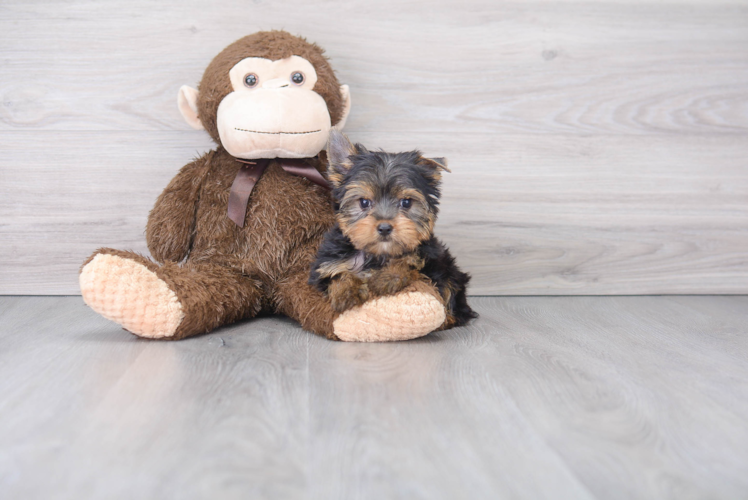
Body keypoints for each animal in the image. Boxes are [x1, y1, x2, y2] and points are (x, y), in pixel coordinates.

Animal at [306, 131, 476, 330]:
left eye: (406, 202)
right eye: (364, 202)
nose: (385, 227)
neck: (378, 254)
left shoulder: (432, 262)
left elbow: (412, 264)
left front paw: (388, 277)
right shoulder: (325, 267)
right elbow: (336, 276)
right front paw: (346, 292)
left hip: (450, 270)